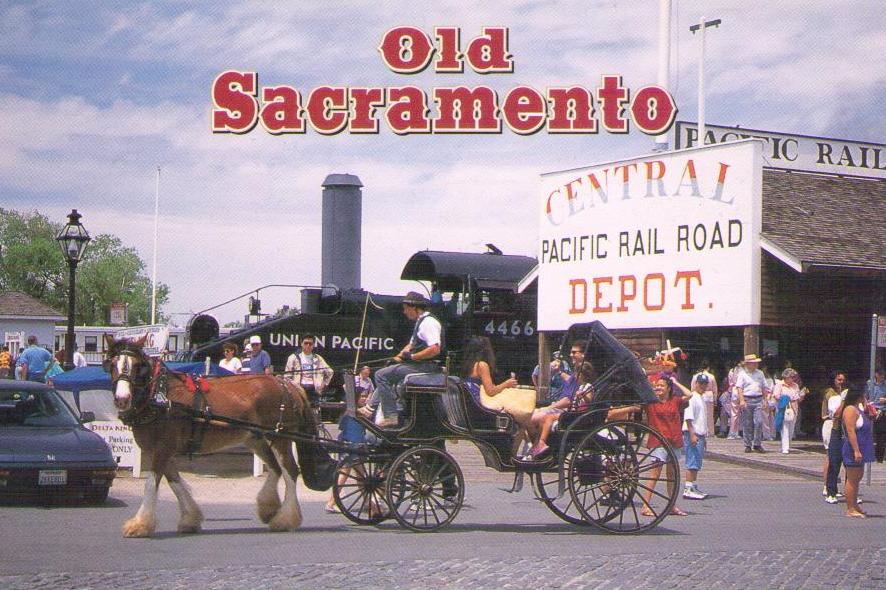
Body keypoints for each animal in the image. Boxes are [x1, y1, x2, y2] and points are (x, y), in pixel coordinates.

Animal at [106, 336, 334, 540]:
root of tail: (287, 383)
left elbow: (152, 483)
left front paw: (139, 525)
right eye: (112, 364)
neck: (160, 395)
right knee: (276, 468)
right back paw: (269, 509)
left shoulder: (163, 448)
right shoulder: (162, 450)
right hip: (255, 438)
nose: (122, 399)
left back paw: (285, 519)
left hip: (279, 437)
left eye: (137, 366)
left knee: (290, 471)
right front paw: (190, 518)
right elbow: (175, 482)